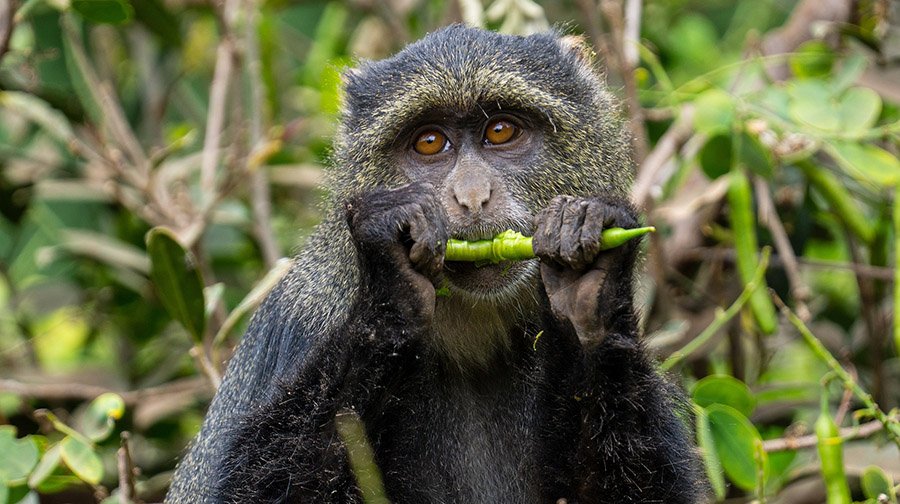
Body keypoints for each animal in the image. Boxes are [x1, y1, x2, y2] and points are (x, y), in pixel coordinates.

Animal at [167, 24, 704, 504]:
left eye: (500, 131)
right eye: (429, 143)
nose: (472, 196)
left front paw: (586, 289)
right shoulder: (300, 323)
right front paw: (392, 283)